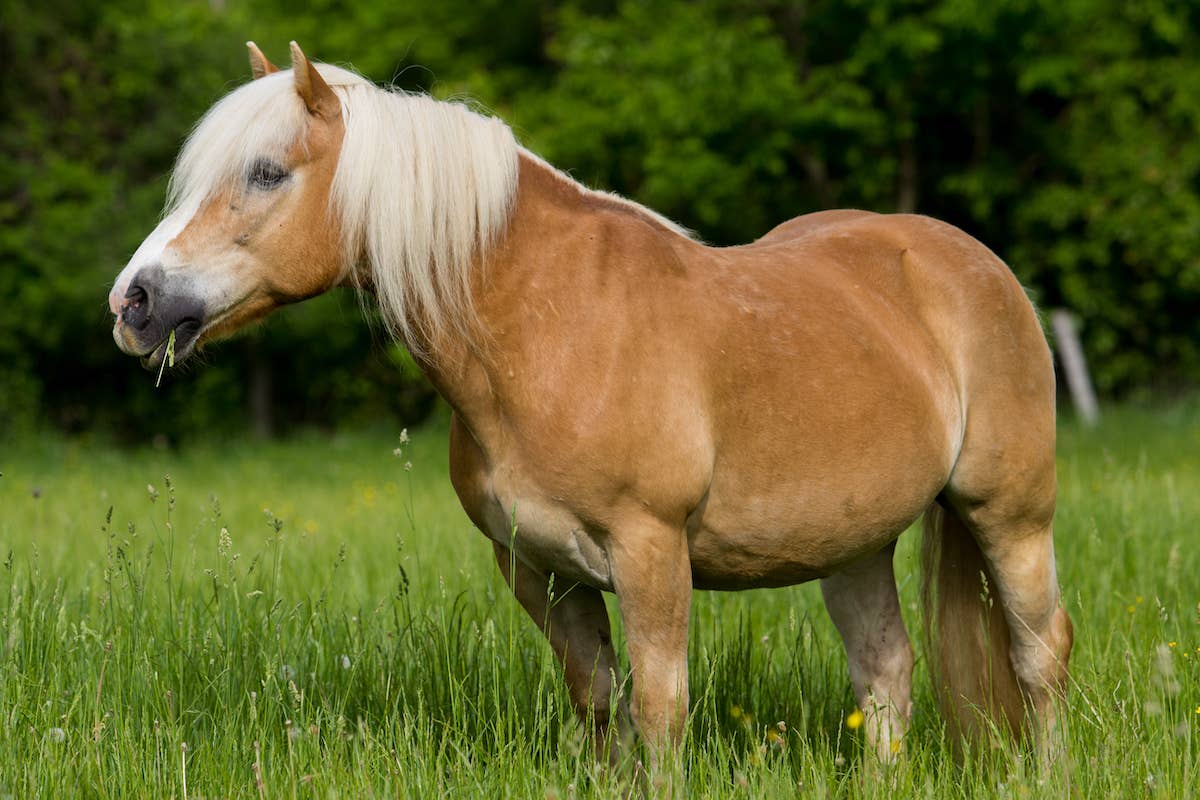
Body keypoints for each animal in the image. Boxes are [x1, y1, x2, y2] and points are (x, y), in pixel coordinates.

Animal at [109, 42, 1073, 768]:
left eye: (267, 172)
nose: (134, 302)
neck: (552, 331)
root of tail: (972, 262)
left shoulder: (651, 553)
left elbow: (660, 710)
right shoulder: (540, 570)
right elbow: (599, 704)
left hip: (1009, 516)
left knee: (1041, 654)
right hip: (855, 540)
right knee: (885, 670)